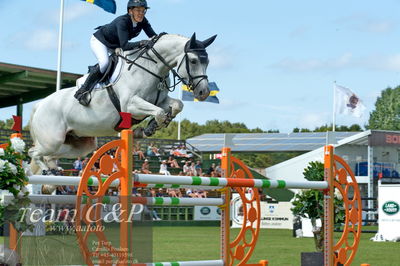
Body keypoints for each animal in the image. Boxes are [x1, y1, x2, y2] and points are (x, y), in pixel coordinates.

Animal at [28, 32, 216, 179]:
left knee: (49, 155)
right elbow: (160, 113)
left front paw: (149, 128)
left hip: (78, 145)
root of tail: (39, 105)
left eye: (207, 62)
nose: (204, 92)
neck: (151, 68)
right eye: (193, 61)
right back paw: (47, 172)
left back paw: (53, 169)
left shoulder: (160, 100)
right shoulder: (131, 105)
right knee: (33, 153)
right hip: (53, 139)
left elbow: (177, 105)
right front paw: (148, 129)